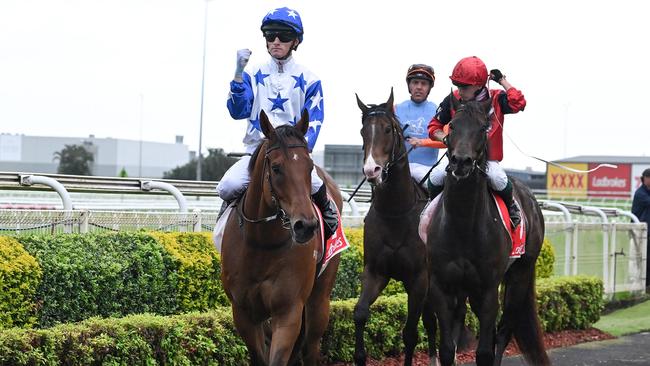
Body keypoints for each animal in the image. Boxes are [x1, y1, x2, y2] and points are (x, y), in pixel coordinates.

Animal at [220, 110, 342, 364]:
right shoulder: (243, 312)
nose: (306, 226)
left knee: (311, 346)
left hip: (319, 298)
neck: (263, 243)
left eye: (309, 167)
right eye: (276, 168)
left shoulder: (289, 311)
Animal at [350, 89, 436, 366]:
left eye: (388, 129)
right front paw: (360, 357)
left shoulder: (418, 278)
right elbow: (360, 313)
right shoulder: (375, 271)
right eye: (362, 131)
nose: (372, 169)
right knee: (432, 322)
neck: (396, 213)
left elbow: (410, 333)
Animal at [426, 96, 548, 366]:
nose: (461, 162)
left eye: (483, 128)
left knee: (503, 333)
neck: (462, 225)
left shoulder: (489, 288)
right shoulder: (442, 286)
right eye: (452, 125)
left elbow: (484, 351)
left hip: (519, 275)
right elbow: (447, 349)